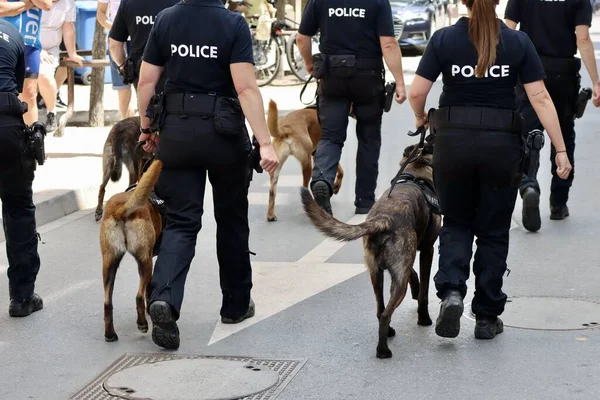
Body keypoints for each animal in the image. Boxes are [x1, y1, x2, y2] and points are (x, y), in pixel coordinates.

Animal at [99, 158, 163, 342]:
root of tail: (121, 208)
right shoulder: (151, 259)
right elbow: (149, 289)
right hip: (145, 262)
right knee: (138, 296)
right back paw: (142, 324)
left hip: (109, 264)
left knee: (107, 303)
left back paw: (110, 334)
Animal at [300, 141, 440, 360]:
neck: (417, 168)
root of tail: (384, 219)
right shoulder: (427, 250)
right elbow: (424, 293)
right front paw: (424, 318)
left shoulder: (404, 262)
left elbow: (414, 275)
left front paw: (416, 289)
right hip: (397, 282)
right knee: (385, 314)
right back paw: (383, 350)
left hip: (376, 274)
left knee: (380, 309)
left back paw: (387, 334)